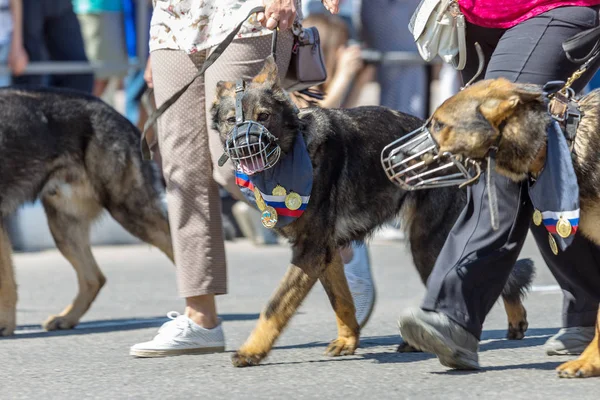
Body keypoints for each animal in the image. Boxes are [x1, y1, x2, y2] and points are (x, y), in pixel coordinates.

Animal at [0, 86, 173, 334]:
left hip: (128, 210)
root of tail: (117, 115)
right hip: (65, 228)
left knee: (174, 243)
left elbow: (5, 282)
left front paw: (5, 324)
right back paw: (67, 318)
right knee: (94, 278)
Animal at [210, 57, 536, 368]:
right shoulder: (325, 254)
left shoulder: (310, 253)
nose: (246, 147)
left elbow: (274, 306)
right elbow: (341, 301)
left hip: (427, 246)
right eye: (231, 121)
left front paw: (251, 351)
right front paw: (348, 339)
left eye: (264, 116)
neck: (295, 150)